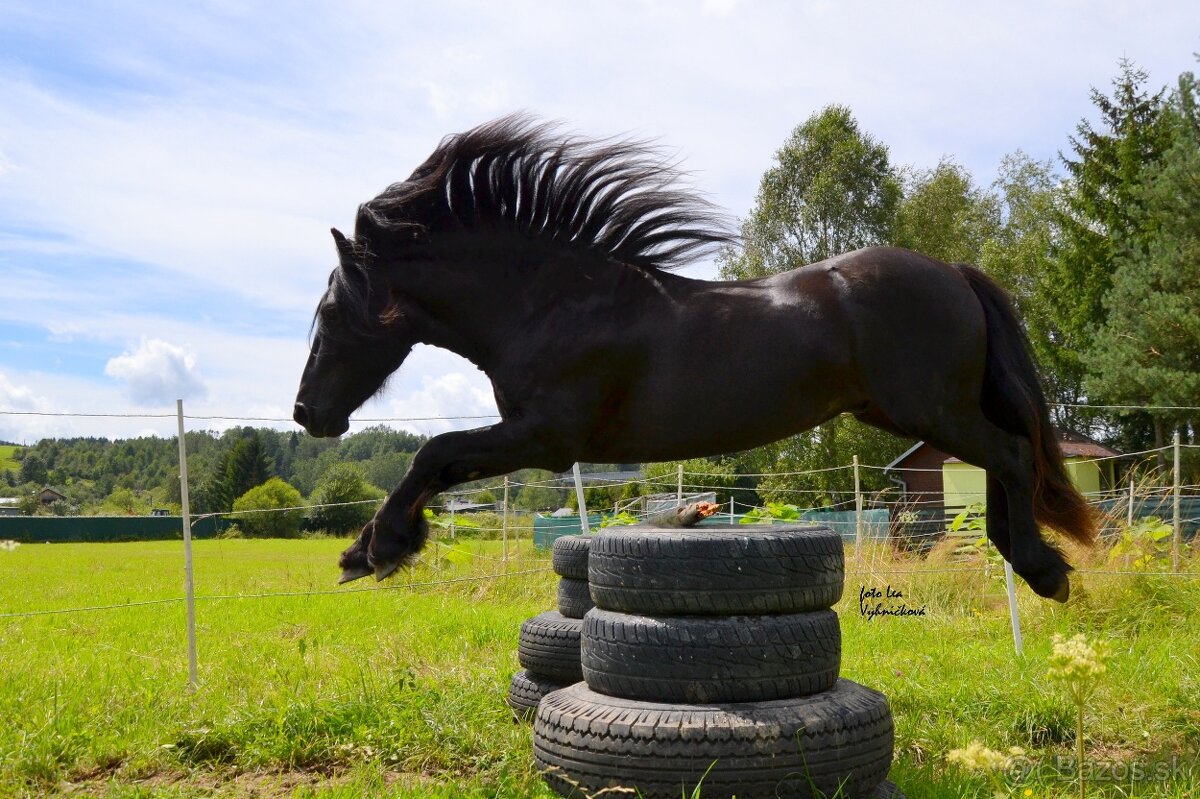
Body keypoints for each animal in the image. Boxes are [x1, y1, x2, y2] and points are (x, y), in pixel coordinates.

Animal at [293, 115, 1095, 602]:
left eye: (330, 315)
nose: (307, 413)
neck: (553, 300)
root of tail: (953, 271)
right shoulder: (538, 438)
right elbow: (437, 462)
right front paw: (375, 547)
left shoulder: (544, 437)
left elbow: (432, 454)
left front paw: (375, 550)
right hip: (919, 412)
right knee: (1004, 459)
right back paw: (1024, 554)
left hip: (932, 409)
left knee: (1011, 455)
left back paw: (1043, 569)